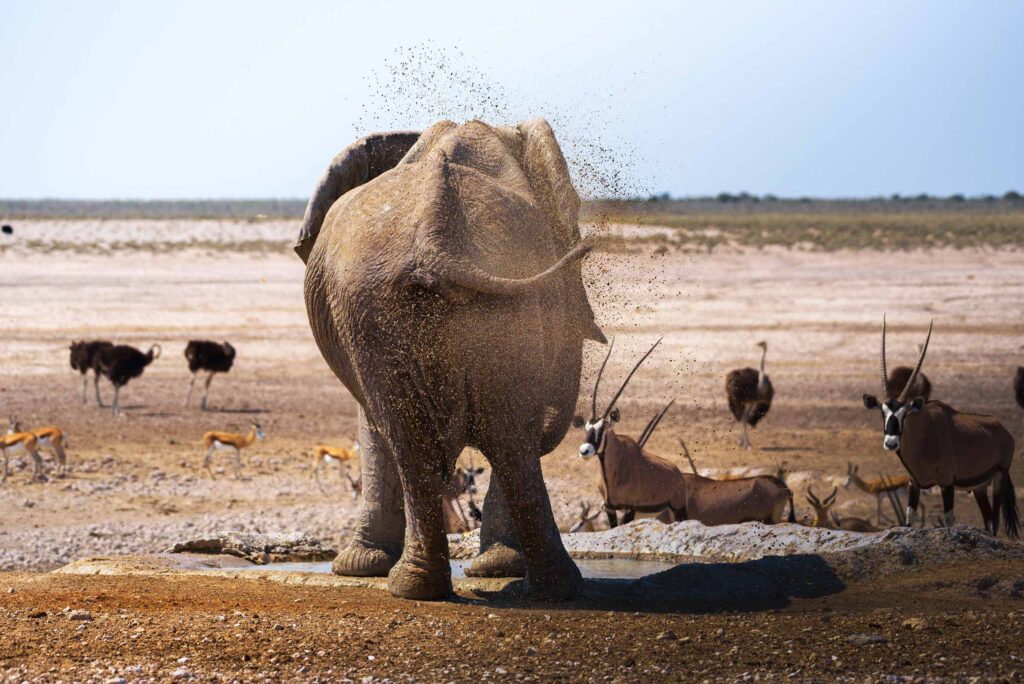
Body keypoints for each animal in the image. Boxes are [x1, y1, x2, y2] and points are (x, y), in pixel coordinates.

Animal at [296, 120, 602, 602]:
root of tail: (435, 237)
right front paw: (359, 568)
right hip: (389, 308)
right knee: (500, 441)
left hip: (418, 308)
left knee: (464, 441)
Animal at [864, 317, 1015, 536]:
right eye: (883, 412)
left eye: (905, 414)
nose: (891, 443)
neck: (923, 435)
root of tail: (1004, 431)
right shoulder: (914, 483)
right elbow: (909, 519)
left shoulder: (946, 483)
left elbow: (948, 520)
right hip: (979, 486)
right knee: (988, 518)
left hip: (999, 477)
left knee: (994, 519)